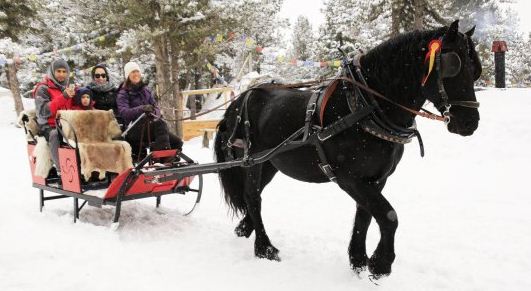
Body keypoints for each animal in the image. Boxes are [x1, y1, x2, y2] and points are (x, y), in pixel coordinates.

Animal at [214, 20, 484, 278]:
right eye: (453, 67)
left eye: (476, 72)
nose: (470, 122)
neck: (365, 107)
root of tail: (240, 99)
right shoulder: (349, 178)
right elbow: (389, 216)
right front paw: (380, 264)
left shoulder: (377, 178)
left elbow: (365, 216)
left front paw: (359, 261)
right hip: (252, 162)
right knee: (252, 197)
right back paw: (265, 248)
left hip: (270, 164)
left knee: (253, 196)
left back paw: (244, 229)